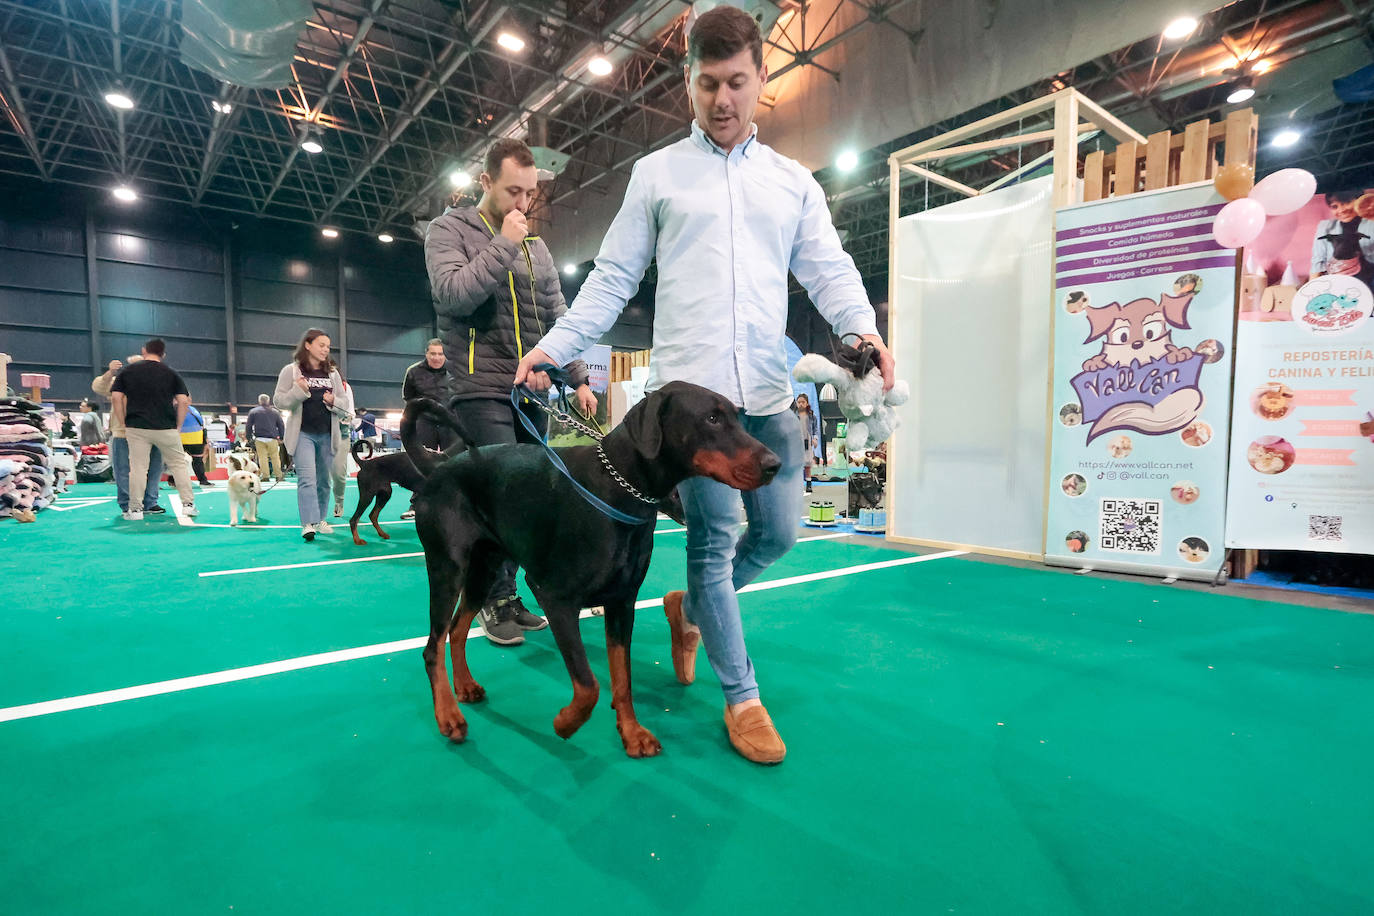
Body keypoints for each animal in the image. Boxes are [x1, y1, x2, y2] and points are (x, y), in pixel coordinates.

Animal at [401, 381, 780, 758]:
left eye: (737, 416)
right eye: (712, 418)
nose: (774, 464)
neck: (618, 489)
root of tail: (439, 464)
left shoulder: (622, 603)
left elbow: (622, 677)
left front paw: (632, 733)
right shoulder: (554, 597)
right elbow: (589, 684)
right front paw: (565, 723)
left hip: (485, 568)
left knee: (456, 629)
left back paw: (465, 687)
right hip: (446, 567)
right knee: (433, 645)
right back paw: (448, 715)